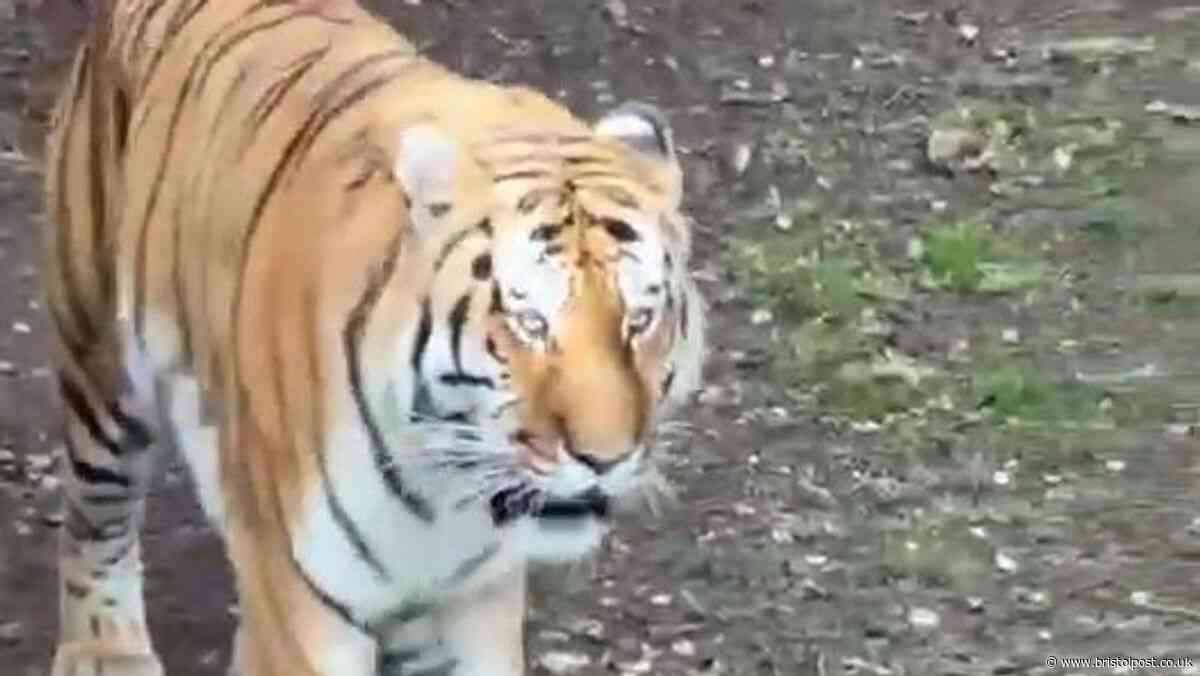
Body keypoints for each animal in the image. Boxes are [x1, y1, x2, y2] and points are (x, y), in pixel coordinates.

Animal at [41, 0, 706, 674]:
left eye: (639, 319)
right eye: (529, 323)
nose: (605, 460)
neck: (443, 495)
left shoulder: (477, 598)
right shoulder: (299, 604)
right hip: (100, 361)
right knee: (95, 514)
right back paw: (105, 648)